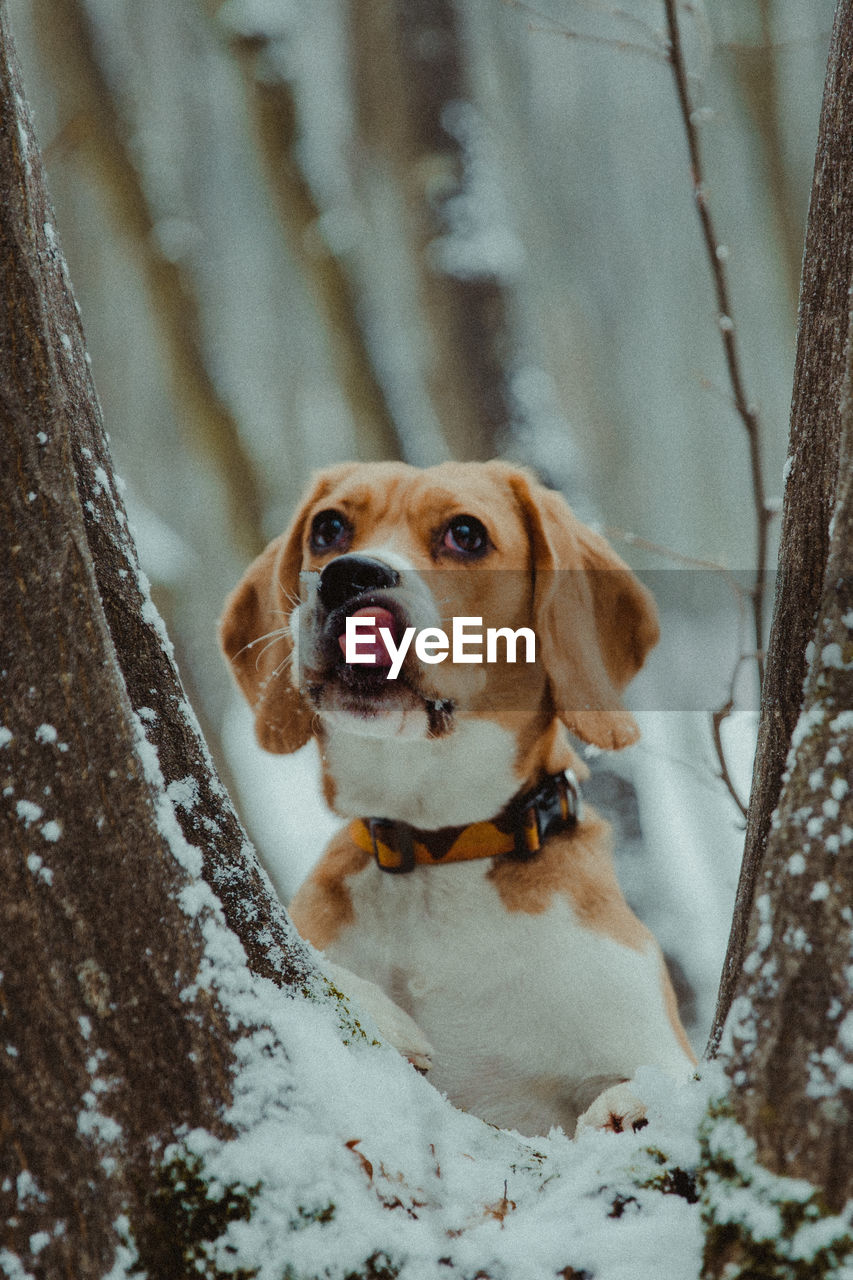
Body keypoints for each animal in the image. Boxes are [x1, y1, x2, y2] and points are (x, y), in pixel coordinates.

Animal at [222, 463, 696, 1141]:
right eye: (328, 528)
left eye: (466, 534)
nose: (349, 574)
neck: (437, 848)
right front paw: (385, 1018)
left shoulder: (648, 1038)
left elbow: (680, 1082)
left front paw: (632, 1106)